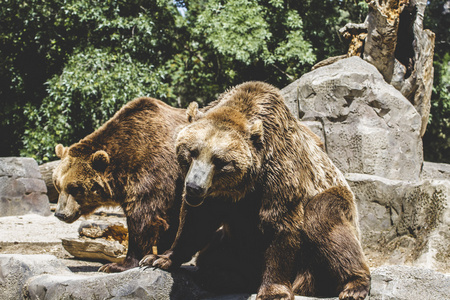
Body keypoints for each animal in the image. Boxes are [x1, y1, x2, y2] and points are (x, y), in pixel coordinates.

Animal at [52, 97, 186, 274]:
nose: (60, 214)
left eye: (74, 188)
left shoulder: (155, 173)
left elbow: (144, 219)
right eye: (57, 185)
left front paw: (116, 265)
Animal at [142, 82, 372, 300]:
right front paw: (158, 258)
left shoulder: (279, 172)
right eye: (192, 152)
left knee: (325, 220)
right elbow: (196, 221)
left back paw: (354, 285)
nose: (193, 187)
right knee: (211, 257)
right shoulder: (221, 197)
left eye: (220, 161)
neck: (245, 184)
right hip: (230, 243)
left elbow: (279, 223)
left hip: (336, 207)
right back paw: (223, 276)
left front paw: (274, 291)